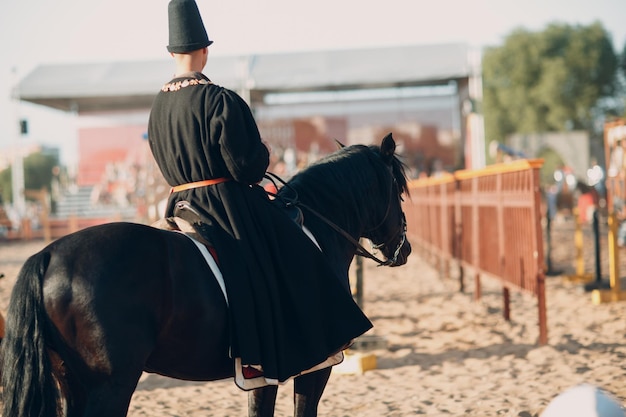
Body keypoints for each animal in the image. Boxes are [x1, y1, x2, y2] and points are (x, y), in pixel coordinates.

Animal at [0, 133, 410, 416]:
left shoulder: (264, 373)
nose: (403, 250)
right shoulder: (315, 366)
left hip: (72, 382)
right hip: (110, 386)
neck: (315, 231)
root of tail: (48, 254)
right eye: (399, 190)